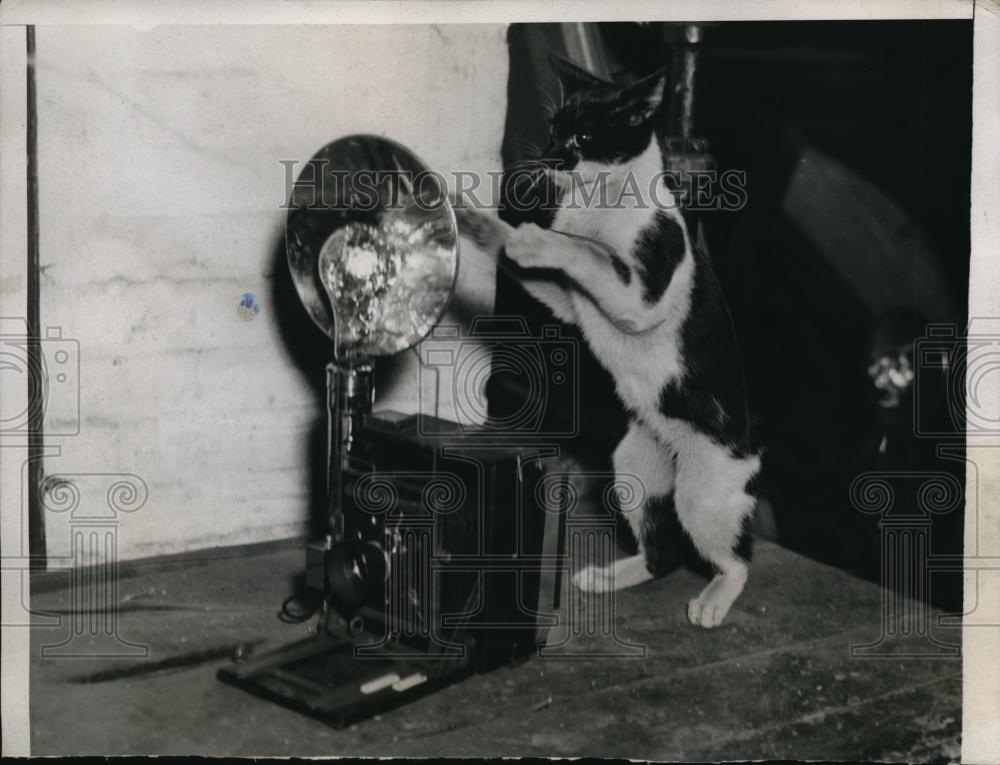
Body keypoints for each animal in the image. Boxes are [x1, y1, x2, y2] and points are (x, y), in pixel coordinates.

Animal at [458, 55, 760, 628]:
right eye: (554, 127)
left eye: (582, 136)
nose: (547, 157)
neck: (599, 202)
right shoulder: (566, 301)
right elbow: (543, 259)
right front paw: (483, 227)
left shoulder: (641, 299)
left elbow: (587, 252)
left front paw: (540, 237)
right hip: (632, 470)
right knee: (663, 553)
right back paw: (611, 577)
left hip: (704, 494)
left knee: (736, 559)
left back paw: (713, 601)